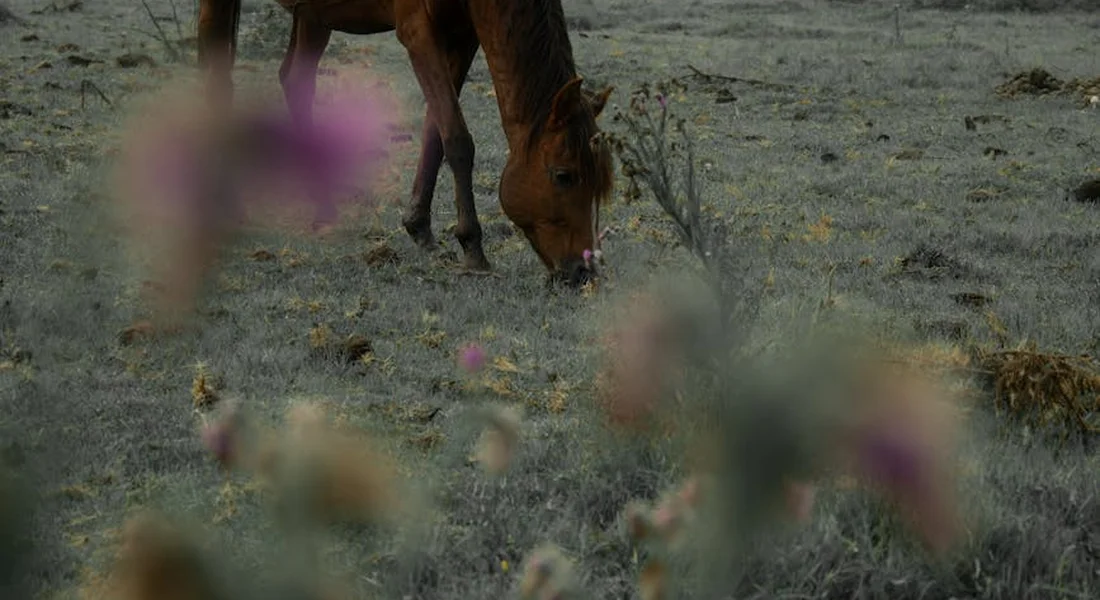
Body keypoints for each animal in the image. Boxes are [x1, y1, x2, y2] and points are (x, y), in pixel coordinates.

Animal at [197, 0, 615, 286]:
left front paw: (420, 226)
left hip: (314, 15)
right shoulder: (418, 31)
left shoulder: (462, 35)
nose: (584, 271)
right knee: (218, 82)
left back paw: (323, 206)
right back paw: (225, 202)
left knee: (296, 81)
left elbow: (436, 131)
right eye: (563, 175)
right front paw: (472, 247)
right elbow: (457, 138)